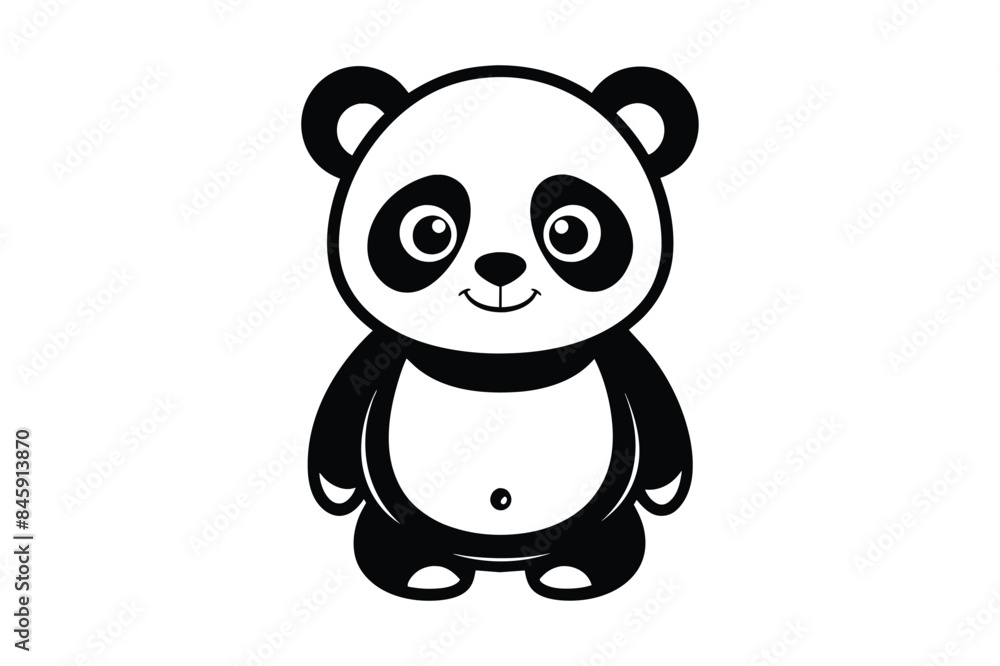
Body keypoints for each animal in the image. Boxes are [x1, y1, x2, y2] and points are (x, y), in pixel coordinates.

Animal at [302, 66, 697, 601]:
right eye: (429, 231)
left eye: (570, 231)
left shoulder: (620, 353)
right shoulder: (381, 351)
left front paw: (666, 488)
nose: (500, 266)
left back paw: (576, 570)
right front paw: (335, 489)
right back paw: (423, 570)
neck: (500, 361)